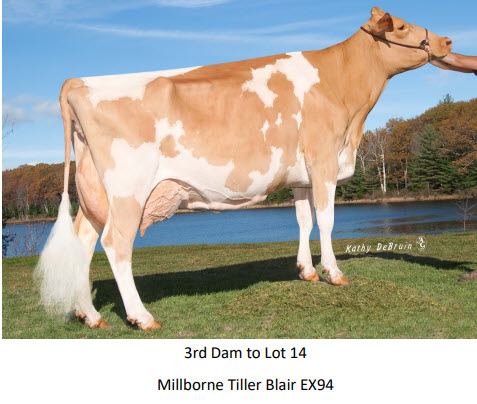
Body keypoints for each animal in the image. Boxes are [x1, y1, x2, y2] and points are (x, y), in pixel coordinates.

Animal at [35, 7, 452, 330]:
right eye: (401, 26)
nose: (447, 41)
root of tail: (77, 82)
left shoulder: (301, 175)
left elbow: (303, 219)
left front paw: (306, 271)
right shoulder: (323, 162)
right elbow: (327, 219)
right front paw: (334, 274)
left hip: (95, 193)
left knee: (83, 244)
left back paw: (90, 316)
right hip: (128, 191)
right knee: (116, 244)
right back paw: (142, 317)